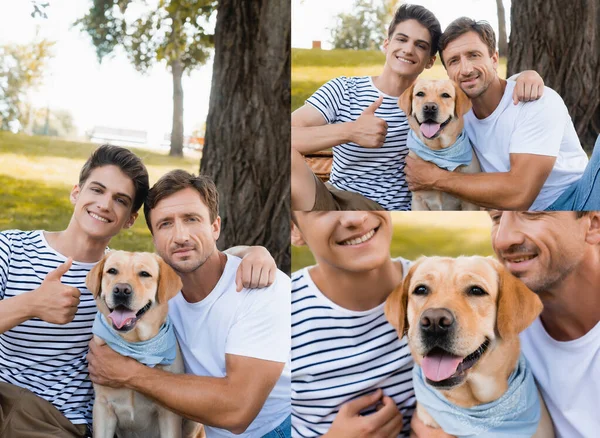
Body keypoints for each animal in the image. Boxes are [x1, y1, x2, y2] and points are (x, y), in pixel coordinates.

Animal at [85, 250, 204, 438]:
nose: (121, 290)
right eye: (112, 271)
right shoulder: (103, 408)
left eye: (144, 274)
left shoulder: (168, 414)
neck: (133, 343)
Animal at [400, 80, 480, 210]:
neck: (437, 149)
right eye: (420, 94)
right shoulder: (418, 200)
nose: (429, 108)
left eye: (445, 95)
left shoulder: (469, 204)